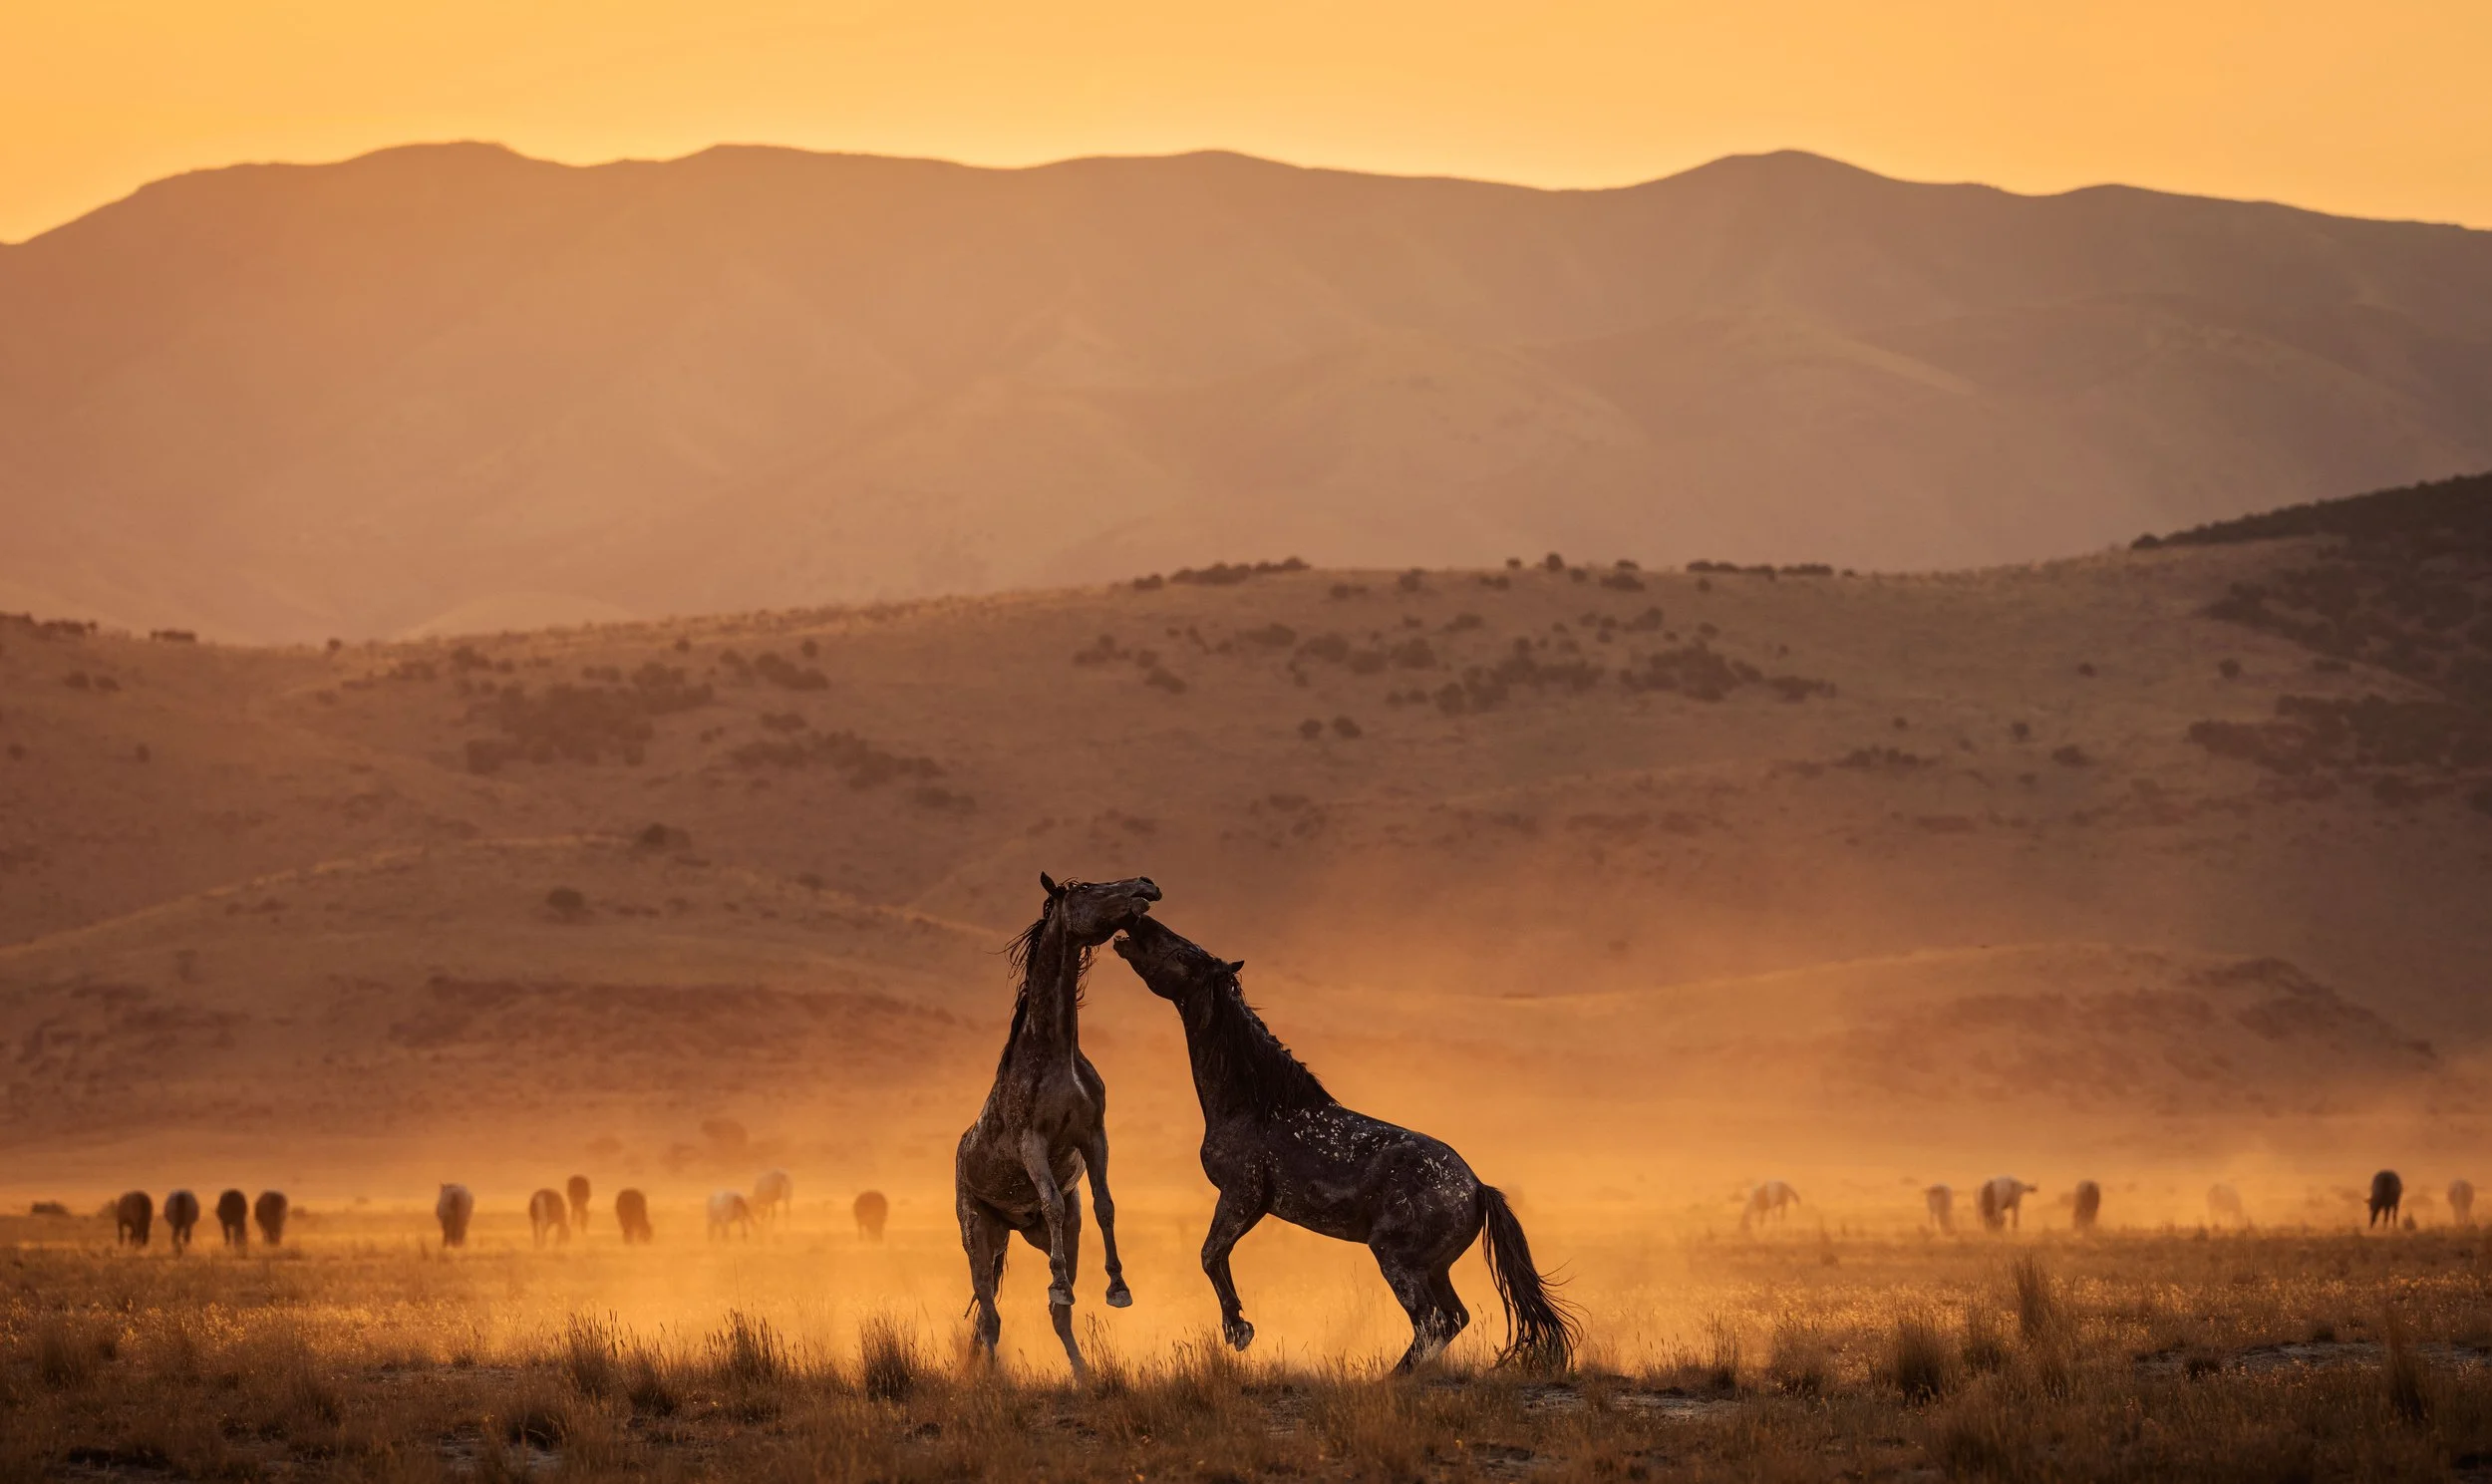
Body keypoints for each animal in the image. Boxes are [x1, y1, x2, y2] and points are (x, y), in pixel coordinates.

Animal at [956, 874, 1161, 1378]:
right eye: (1086, 888)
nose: (1146, 885)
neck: (1056, 1053)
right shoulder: (1033, 1142)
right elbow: (1049, 1200)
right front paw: (1060, 1283)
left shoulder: (1094, 1135)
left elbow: (1106, 1204)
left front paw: (1118, 1289)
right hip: (978, 1236)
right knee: (989, 1314)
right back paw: (995, 1379)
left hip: (1052, 1232)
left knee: (1049, 1316)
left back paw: (1083, 1376)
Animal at [1114, 915, 1581, 1373]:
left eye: (1181, 954)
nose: (1136, 922)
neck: (1255, 1106)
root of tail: (1477, 1189)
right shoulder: (1256, 1207)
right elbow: (1219, 1255)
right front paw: (1239, 1326)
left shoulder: (1239, 1196)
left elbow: (1210, 1254)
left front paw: (1239, 1331)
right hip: (1435, 1268)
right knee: (1452, 1319)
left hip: (1398, 1261)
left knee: (1432, 1321)